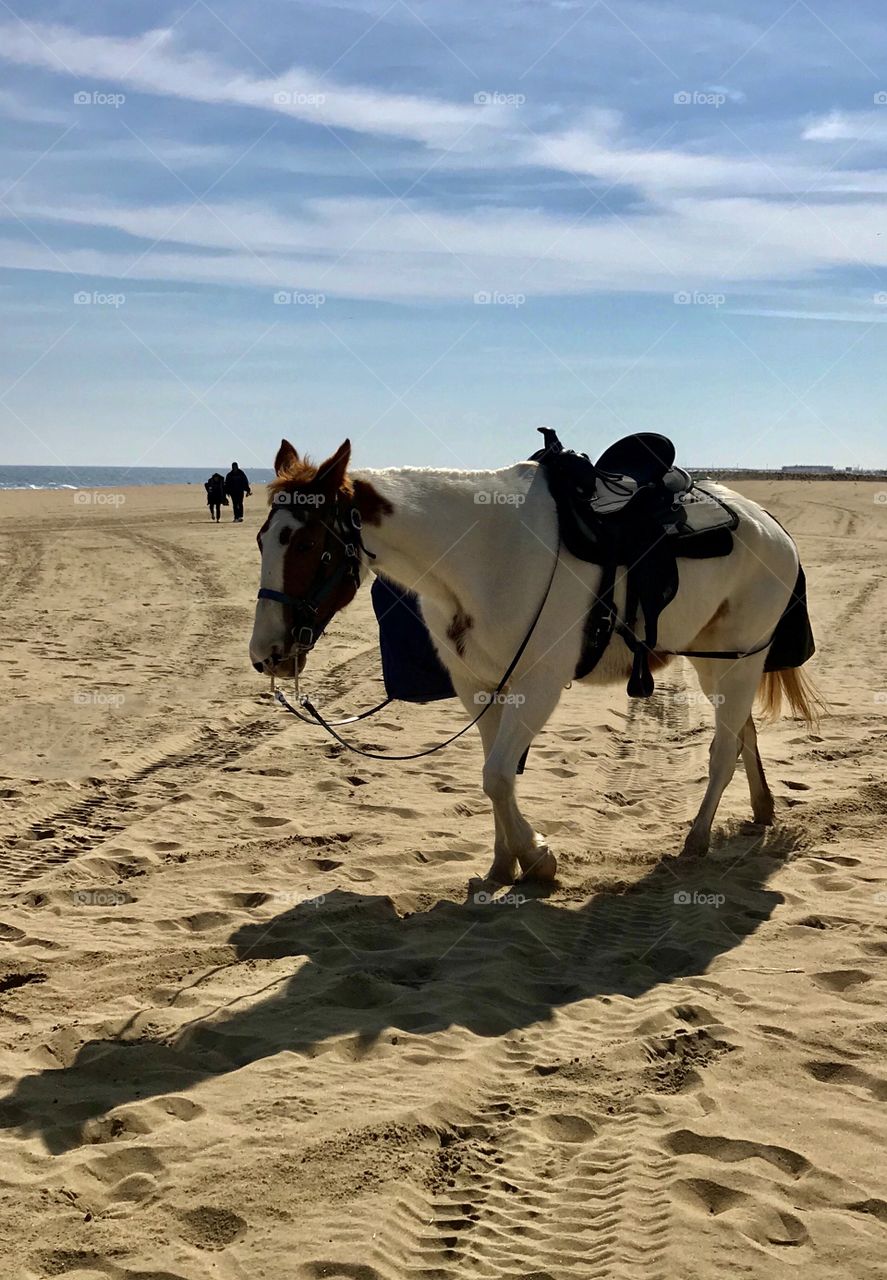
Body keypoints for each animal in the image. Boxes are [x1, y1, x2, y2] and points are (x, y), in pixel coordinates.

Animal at [250, 438, 821, 884]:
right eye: (261, 538)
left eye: (307, 542)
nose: (265, 654)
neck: (481, 555)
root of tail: (772, 525)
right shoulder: (477, 684)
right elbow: (493, 775)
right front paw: (504, 863)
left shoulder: (538, 682)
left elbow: (498, 776)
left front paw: (536, 857)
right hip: (715, 660)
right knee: (742, 732)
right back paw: (761, 809)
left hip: (741, 657)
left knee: (723, 749)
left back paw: (697, 839)